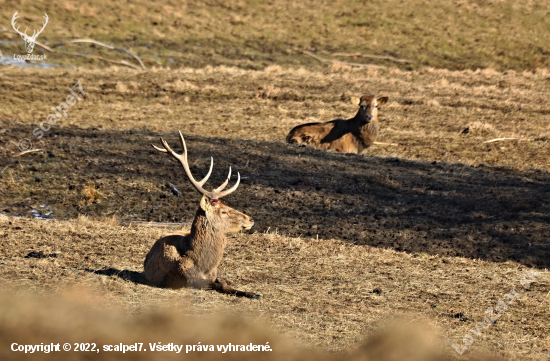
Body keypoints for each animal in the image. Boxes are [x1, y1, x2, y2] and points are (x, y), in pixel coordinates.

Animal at [144, 131, 260, 298]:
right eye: (223, 211)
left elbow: (225, 284)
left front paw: (254, 293)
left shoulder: (216, 272)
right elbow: (215, 285)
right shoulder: (185, 278)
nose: (250, 219)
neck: (203, 266)